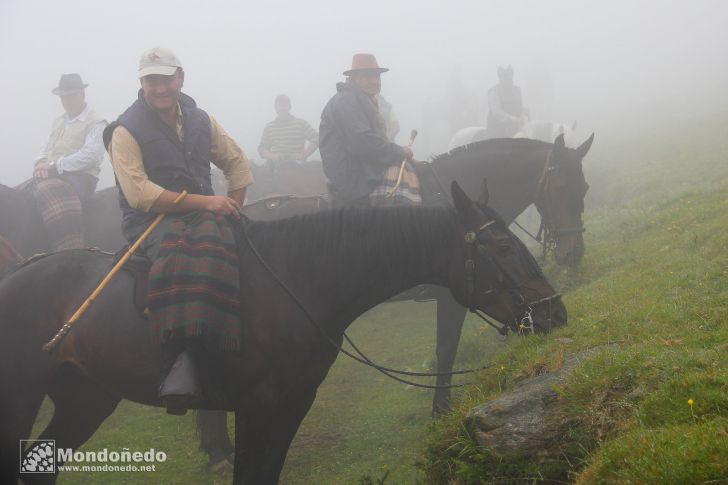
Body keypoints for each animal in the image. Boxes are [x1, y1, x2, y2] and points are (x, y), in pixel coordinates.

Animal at [0, 182, 564, 484]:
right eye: (504, 248)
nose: (554, 312)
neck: (297, 280)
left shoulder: (294, 403)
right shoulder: (256, 406)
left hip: (85, 399)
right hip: (20, 402)